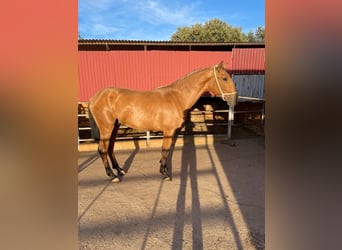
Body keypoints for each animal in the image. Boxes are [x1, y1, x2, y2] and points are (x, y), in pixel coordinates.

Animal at [88, 60, 238, 182]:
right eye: (224, 78)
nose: (235, 99)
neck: (177, 97)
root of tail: (95, 97)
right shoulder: (168, 131)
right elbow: (165, 150)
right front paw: (164, 174)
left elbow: (166, 150)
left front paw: (164, 169)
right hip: (106, 128)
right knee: (102, 149)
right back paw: (112, 176)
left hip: (115, 126)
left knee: (110, 148)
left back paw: (119, 170)